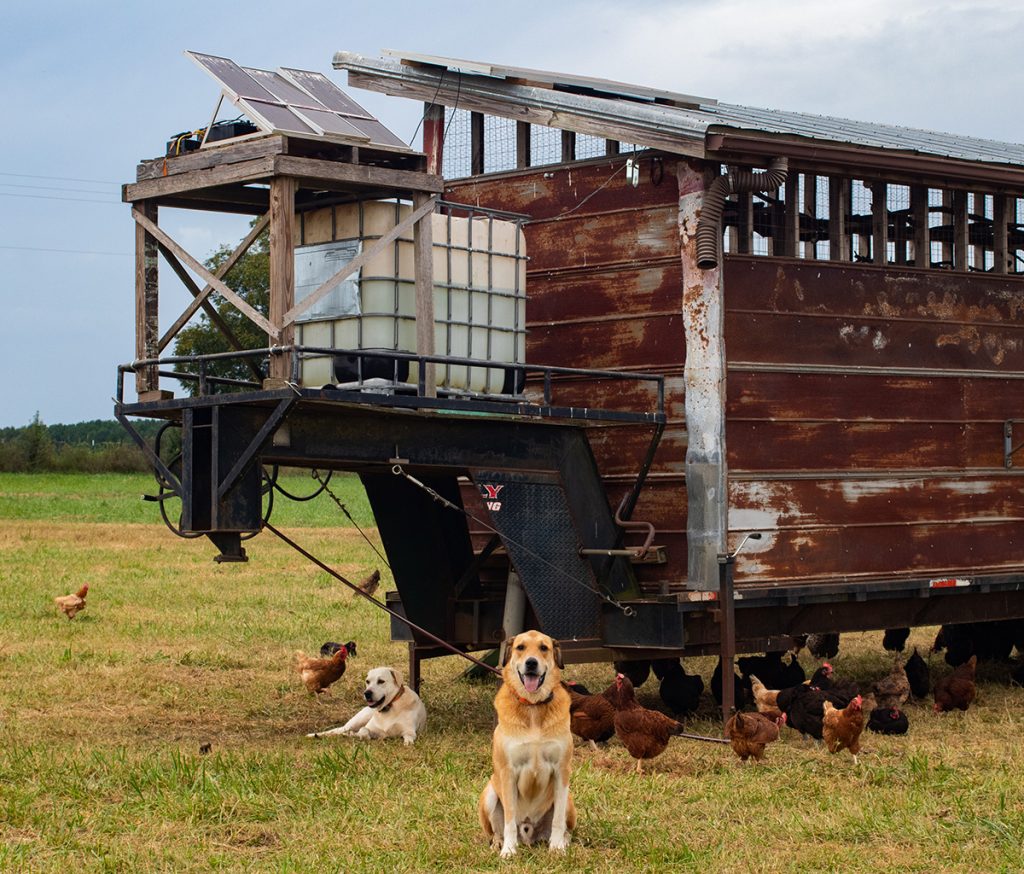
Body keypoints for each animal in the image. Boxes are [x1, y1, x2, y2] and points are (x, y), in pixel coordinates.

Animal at [479, 630, 577, 863]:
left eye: (544, 648)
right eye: (521, 647)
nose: (531, 663)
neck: (533, 707)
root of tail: (529, 833)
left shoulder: (562, 770)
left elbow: (558, 819)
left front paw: (557, 847)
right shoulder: (508, 772)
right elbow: (509, 819)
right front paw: (509, 849)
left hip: (569, 799)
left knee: (565, 825)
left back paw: (562, 841)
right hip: (489, 793)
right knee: (497, 830)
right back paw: (499, 843)